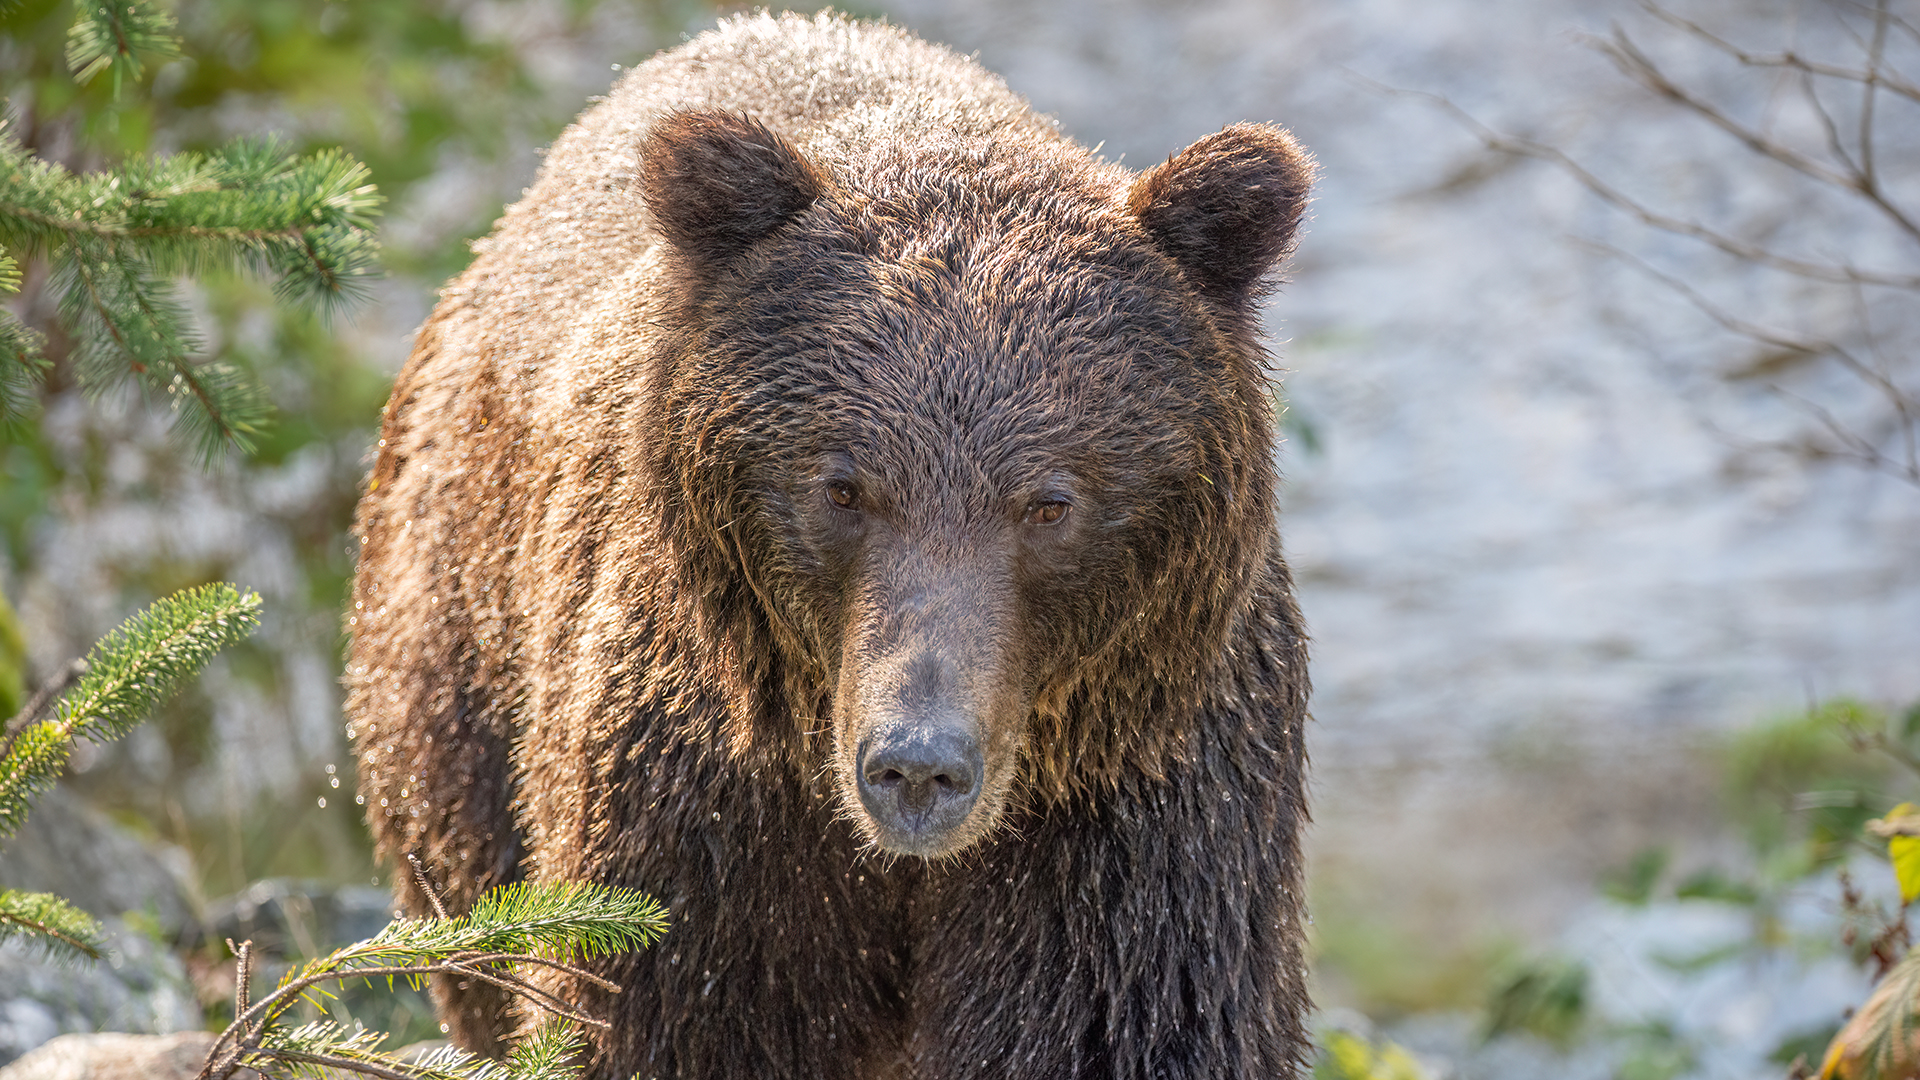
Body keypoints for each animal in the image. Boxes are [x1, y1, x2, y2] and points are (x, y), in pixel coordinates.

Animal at [344, 11, 1314, 1079]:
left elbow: (1122, 1018)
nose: (918, 765)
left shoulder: (1136, 803)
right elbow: (667, 1013)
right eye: (843, 486)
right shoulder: (707, 810)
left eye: (1050, 503)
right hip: (459, 659)